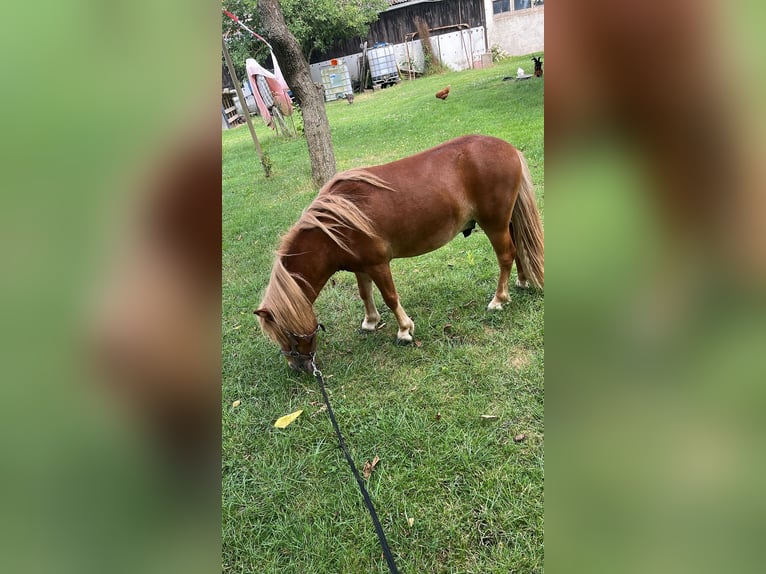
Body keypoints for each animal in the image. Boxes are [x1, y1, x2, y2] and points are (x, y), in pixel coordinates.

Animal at [255, 135, 544, 372]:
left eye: (288, 335)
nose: (297, 367)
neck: (336, 225)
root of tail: (509, 149)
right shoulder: (361, 267)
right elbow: (365, 294)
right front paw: (370, 322)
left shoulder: (379, 264)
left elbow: (390, 297)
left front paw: (404, 330)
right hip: (506, 223)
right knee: (518, 249)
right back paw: (521, 282)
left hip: (494, 225)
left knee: (505, 256)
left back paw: (499, 299)